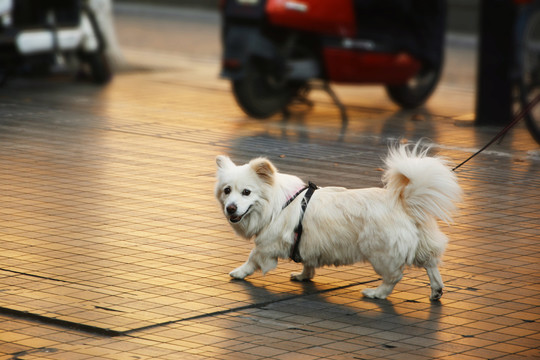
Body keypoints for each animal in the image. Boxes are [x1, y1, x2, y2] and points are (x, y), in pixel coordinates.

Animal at [217, 145, 462, 300]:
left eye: (246, 192)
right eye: (227, 190)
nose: (231, 208)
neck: (277, 203)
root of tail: (404, 203)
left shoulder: (267, 243)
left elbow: (252, 258)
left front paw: (239, 272)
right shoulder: (307, 242)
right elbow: (308, 263)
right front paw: (304, 276)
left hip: (380, 254)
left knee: (393, 277)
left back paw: (376, 293)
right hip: (421, 246)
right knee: (431, 264)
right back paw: (436, 291)